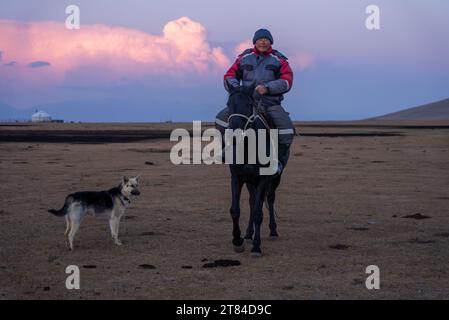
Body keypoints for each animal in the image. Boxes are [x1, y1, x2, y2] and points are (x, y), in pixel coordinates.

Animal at [223, 83, 288, 258]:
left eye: (248, 105)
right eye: (228, 105)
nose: (233, 135)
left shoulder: (263, 179)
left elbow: (259, 213)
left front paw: (257, 247)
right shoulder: (237, 177)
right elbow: (235, 210)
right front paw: (237, 241)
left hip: (274, 179)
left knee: (270, 199)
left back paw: (273, 231)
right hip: (250, 182)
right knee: (253, 202)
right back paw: (247, 234)